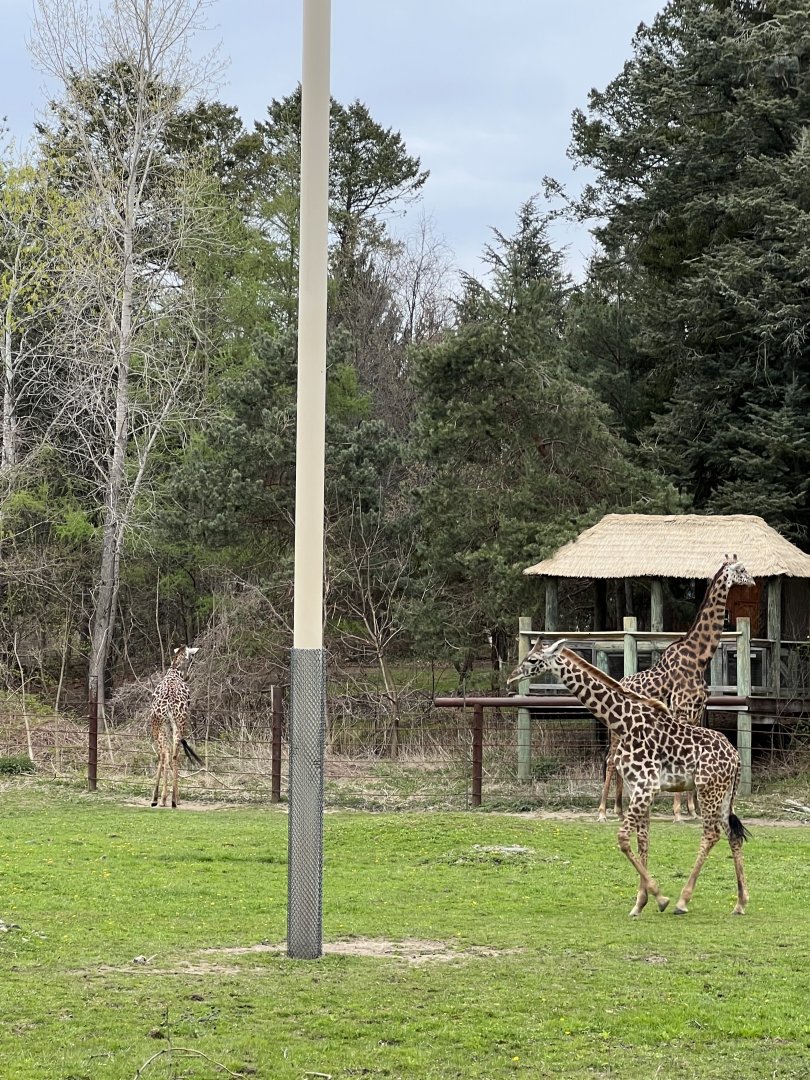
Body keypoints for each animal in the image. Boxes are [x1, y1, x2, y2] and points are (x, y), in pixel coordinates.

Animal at [149, 645, 202, 808]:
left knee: (164, 754)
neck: (174, 671)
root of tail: (168, 707)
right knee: (174, 755)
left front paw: (159, 798)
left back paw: (159, 799)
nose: (187, 676)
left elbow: (162, 756)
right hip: (179, 724)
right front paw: (174, 798)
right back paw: (174, 799)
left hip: (159, 726)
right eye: (191, 658)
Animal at [507, 640, 750, 917]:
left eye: (533, 660)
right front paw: (640, 902)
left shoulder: (646, 787)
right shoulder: (638, 789)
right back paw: (740, 902)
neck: (622, 723)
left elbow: (623, 839)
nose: (511, 677)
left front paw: (659, 897)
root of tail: (736, 757)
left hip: (708, 789)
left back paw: (682, 901)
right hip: (724, 793)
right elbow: (643, 840)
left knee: (711, 834)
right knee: (732, 834)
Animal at [598, 556, 755, 823]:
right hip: (617, 729)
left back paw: (619, 809)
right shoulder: (681, 710)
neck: (699, 658)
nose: (753, 581)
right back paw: (602, 812)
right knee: (610, 760)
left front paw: (694, 810)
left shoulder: (698, 712)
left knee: (618, 760)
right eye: (742, 569)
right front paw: (679, 812)